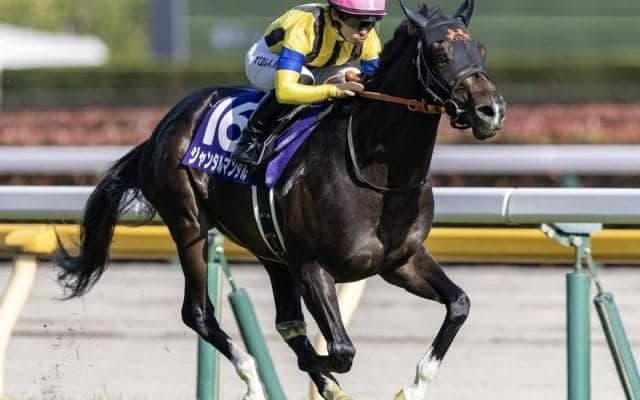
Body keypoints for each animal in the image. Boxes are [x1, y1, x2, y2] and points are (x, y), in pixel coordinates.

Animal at [55, 0, 505, 399]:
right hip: (189, 224)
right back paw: (254, 380)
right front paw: (317, 371)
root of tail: (160, 130)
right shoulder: (312, 266)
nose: (491, 111)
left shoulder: (400, 262)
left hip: (268, 246)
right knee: (198, 312)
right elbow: (341, 350)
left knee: (287, 322)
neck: (377, 174)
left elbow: (459, 304)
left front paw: (410, 388)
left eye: (481, 50)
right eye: (440, 53)